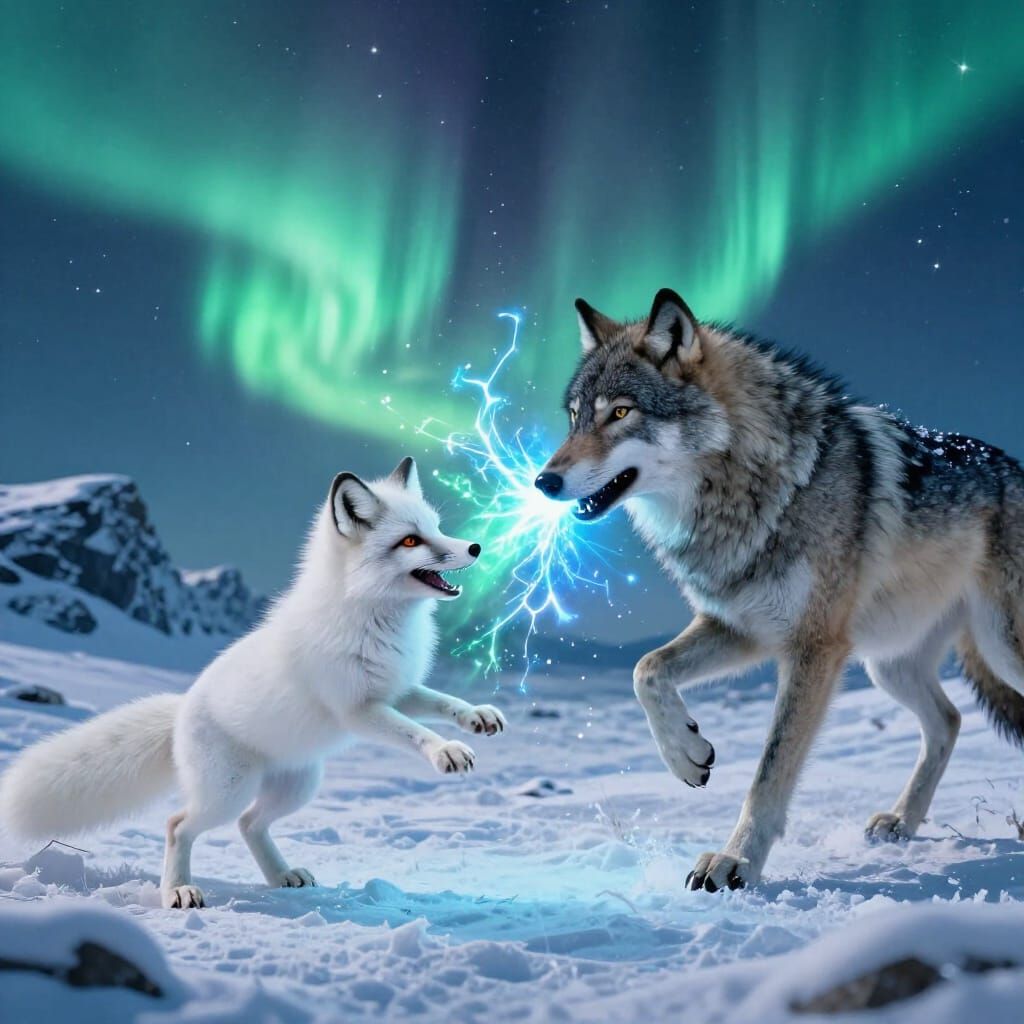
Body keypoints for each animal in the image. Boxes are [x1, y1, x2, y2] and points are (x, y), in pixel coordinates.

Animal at [0, 458, 506, 908]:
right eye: (410, 540)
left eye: (437, 527)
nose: (476, 548)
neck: (373, 618)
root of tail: (182, 708)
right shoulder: (357, 710)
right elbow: (415, 731)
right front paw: (446, 751)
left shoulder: (397, 690)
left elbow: (442, 702)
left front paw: (476, 717)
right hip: (228, 791)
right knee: (178, 824)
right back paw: (178, 892)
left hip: (298, 786)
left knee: (248, 824)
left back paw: (281, 875)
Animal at [536, 287, 1024, 892]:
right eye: (575, 417)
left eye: (621, 413)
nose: (543, 481)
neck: (755, 488)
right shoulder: (741, 627)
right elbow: (645, 669)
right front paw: (687, 754)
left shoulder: (811, 647)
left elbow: (771, 768)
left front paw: (734, 862)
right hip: (887, 664)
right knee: (950, 721)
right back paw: (901, 822)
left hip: (1000, 648)